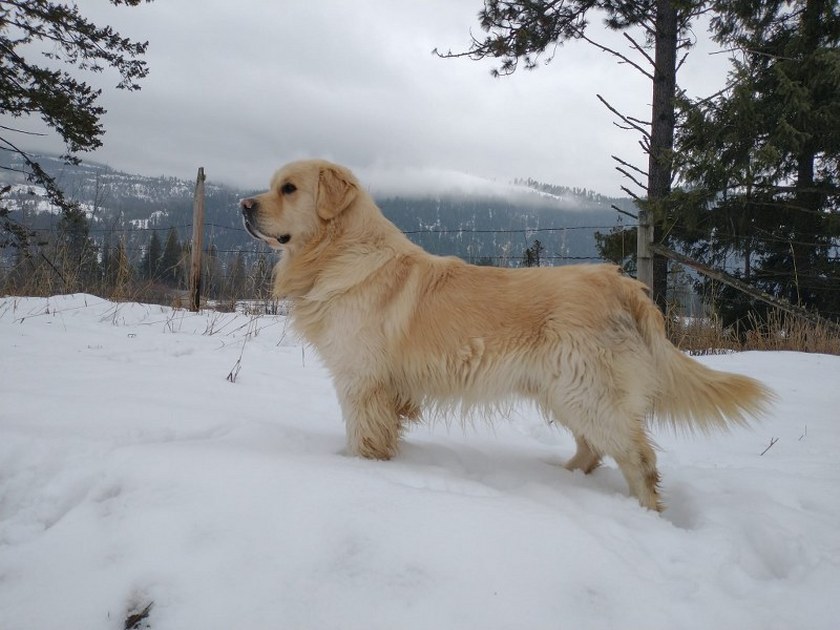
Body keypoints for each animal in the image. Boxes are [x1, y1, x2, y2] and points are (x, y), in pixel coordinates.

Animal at [241, 159, 773, 511]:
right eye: (271, 187)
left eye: (289, 189)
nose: (243, 205)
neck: (338, 251)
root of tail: (623, 284)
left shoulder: (361, 381)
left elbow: (363, 436)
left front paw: (356, 469)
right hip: (568, 391)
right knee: (594, 448)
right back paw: (560, 479)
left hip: (586, 390)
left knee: (637, 457)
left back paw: (648, 515)